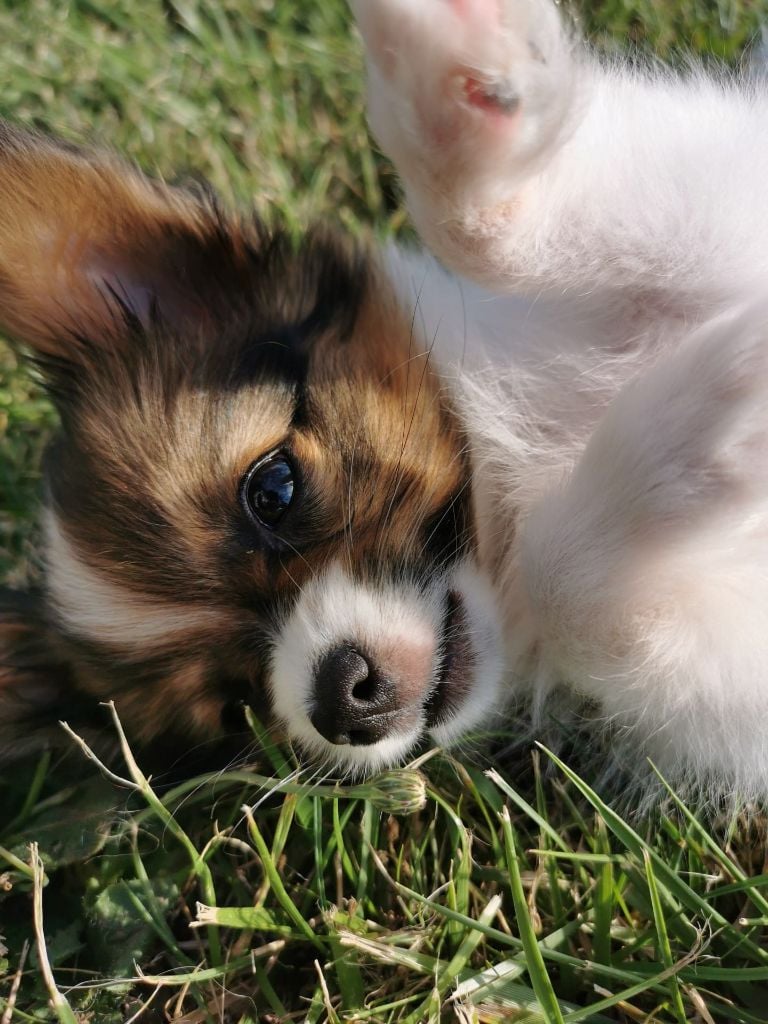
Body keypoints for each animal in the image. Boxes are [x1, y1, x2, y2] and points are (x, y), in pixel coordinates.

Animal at [1, 0, 768, 798]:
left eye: (273, 488)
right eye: (235, 705)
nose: (342, 697)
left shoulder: (720, 182)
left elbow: (494, 234)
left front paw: (449, 81)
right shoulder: (720, 661)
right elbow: (568, 581)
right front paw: (708, 423)